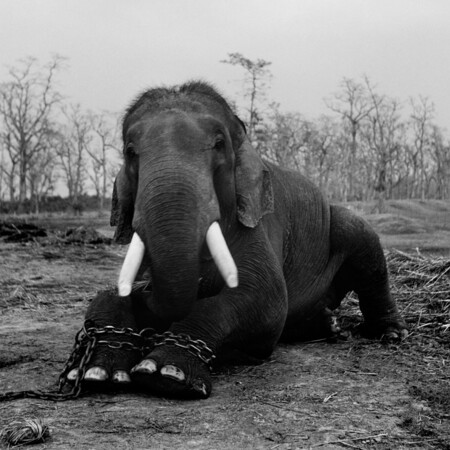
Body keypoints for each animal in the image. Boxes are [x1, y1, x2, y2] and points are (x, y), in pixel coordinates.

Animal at [67, 80, 408, 398]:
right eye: (129, 151)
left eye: (219, 144)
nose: (145, 289)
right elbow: (106, 296)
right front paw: (97, 372)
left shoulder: (257, 226)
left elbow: (266, 298)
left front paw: (166, 374)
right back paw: (329, 325)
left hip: (345, 227)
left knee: (364, 248)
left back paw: (390, 334)